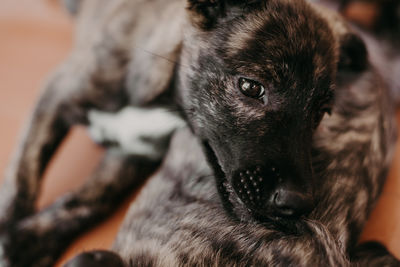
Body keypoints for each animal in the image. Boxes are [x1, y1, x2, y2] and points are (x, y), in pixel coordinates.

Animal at [0, 0, 398, 266]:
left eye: (322, 112)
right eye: (251, 87)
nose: (297, 204)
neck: (161, 99)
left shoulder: (134, 151)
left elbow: (93, 199)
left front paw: (30, 241)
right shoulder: (56, 95)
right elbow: (21, 180)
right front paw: (11, 232)